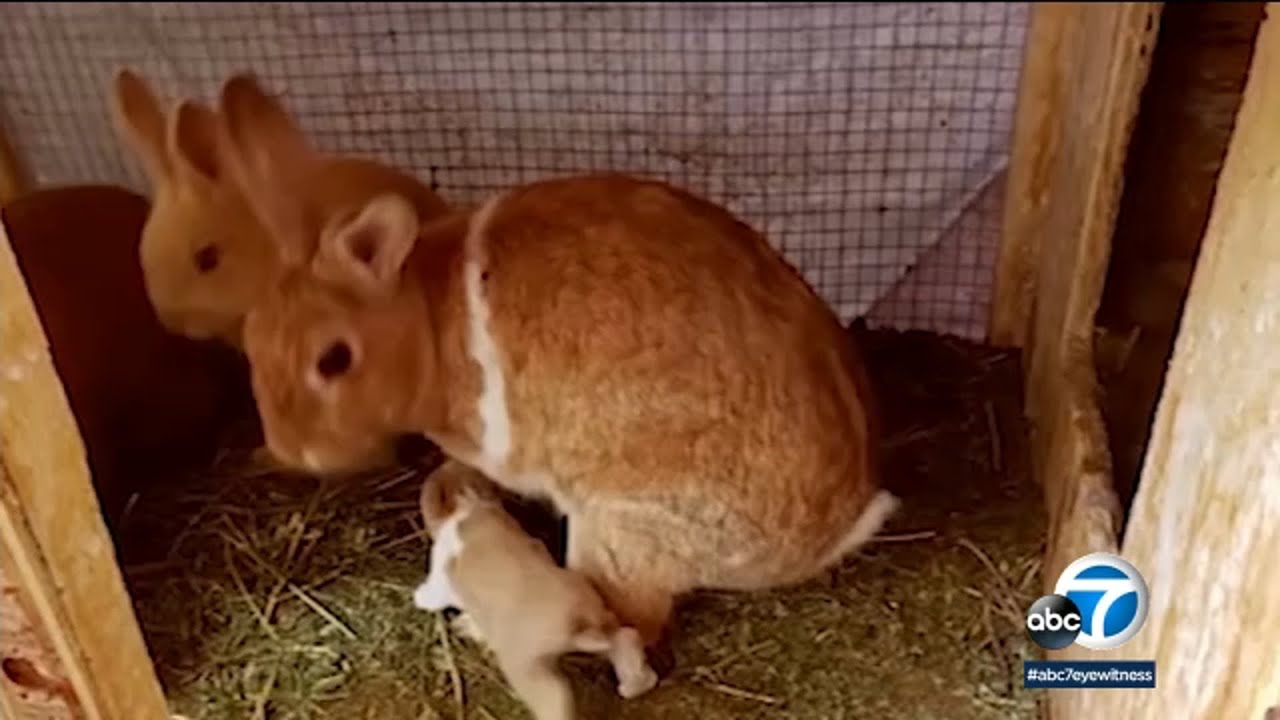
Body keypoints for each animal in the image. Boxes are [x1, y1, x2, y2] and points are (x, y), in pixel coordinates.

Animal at [214, 72, 900, 649]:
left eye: (334, 360)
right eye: (250, 336)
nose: (293, 450)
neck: (428, 324)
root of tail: (827, 538)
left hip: (613, 528)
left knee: (627, 624)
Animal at [412, 459, 658, 720]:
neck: (468, 509)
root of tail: (580, 622)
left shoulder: (441, 580)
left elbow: (432, 595)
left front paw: (420, 598)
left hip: (529, 669)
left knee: (557, 700)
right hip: (606, 625)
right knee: (626, 640)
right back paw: (635, 685)